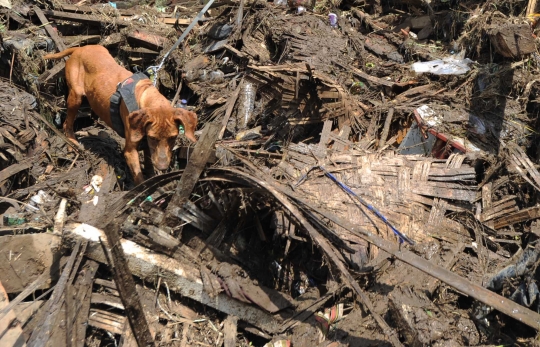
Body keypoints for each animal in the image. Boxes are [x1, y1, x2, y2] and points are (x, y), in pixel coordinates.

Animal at [42, 45, 198, 185]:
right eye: (153, 138)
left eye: (173, 138)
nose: (163, 167)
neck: (146, 95)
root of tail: (79, 48)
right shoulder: (130, 150)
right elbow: (139, 179)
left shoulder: (147, 144)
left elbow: (149, 166)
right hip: (76, 96)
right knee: (66, 123)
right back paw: (71, 143)